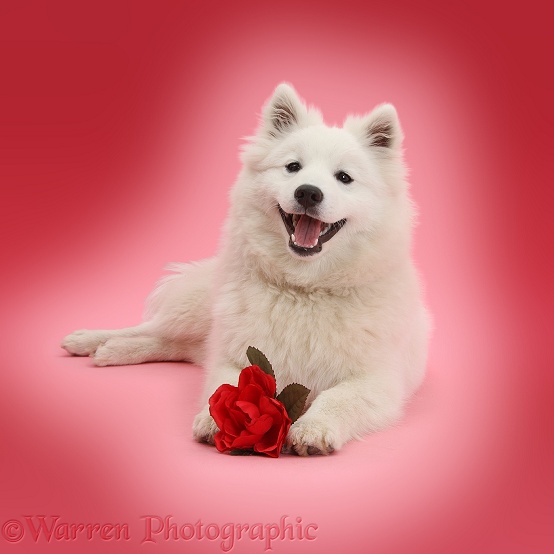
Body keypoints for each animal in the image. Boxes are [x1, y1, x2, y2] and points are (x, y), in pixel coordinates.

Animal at [61, 83, 432, 452]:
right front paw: (214, 418)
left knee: (175, 345)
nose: (308, 193)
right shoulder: (235, 354)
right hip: (197, 312)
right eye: (293, 167)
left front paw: (314, 428)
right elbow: (226, 386)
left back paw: (111, 350)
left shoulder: (377, 381)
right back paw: (91, 341)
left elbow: (339, 398)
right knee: (154, 329)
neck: (305, 288)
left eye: (344, 178)